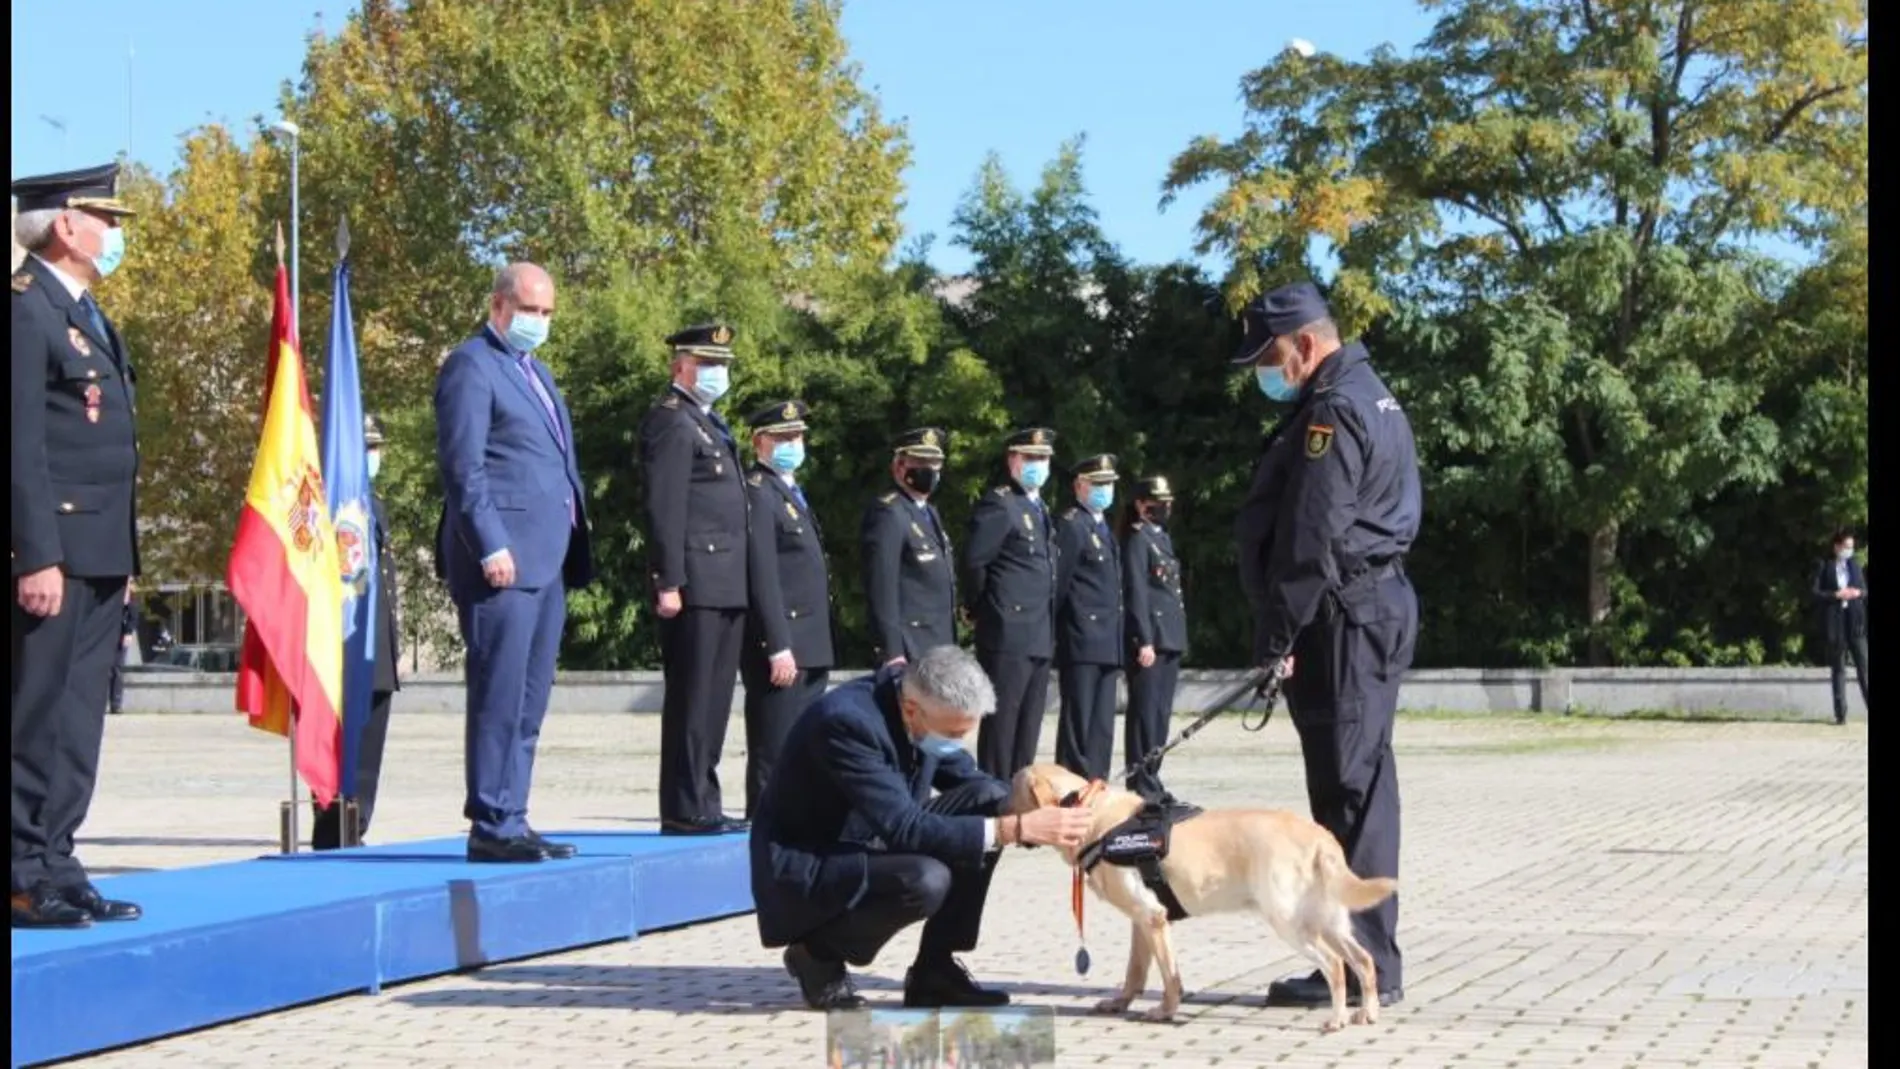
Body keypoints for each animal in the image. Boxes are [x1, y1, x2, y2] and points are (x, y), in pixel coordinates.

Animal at [1010, 767, 1398, 1032]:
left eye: (1013, 791)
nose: (998, 808)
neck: (1092, 815)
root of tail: (1320, 836)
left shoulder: (1152, 917)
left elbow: (1169, 977)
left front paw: (1164, 1012)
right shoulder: (1142, 920)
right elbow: (1135, 972)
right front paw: (1120, 1003)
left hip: (1290, 922)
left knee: (1335, 965)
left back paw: (1336, 1019)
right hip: (1329, 921)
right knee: (1364, 961)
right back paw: (1368, 1012)